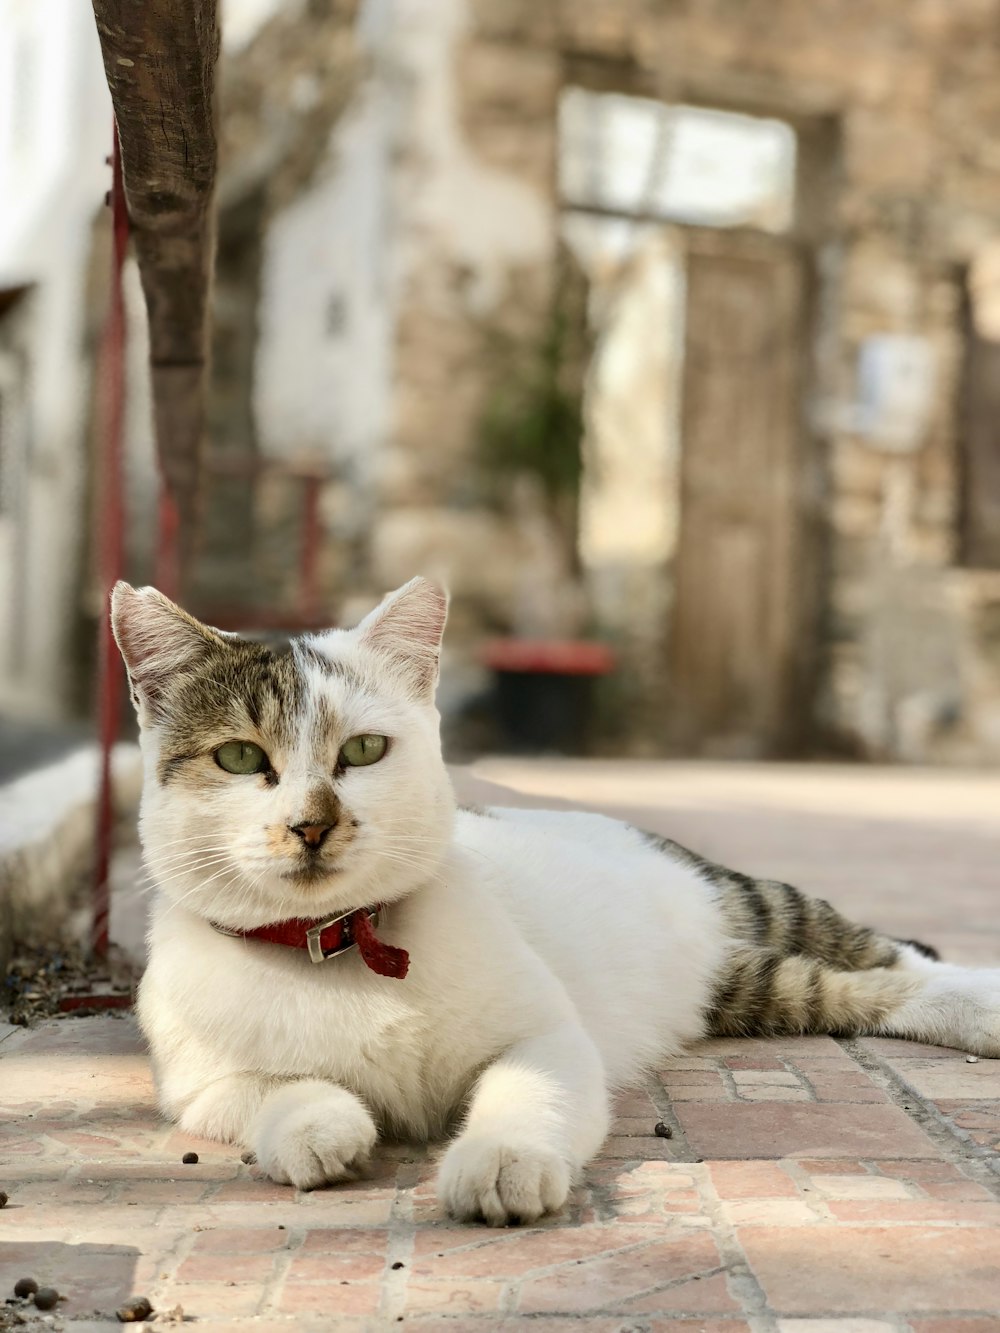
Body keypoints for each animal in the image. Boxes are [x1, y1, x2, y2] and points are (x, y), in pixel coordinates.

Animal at [113, 578, 1000, 1221]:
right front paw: (318, 1127)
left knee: (892, 957)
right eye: (238, 757)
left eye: (363, 750)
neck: (341, 944)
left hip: (757, 901)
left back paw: (982, 1002)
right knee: (844, 990)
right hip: (749, 989)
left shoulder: (547, 1033)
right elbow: (269, 1091)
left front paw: (502, 1159)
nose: (311, 823)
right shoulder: (197, 1084)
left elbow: (525, 1088)